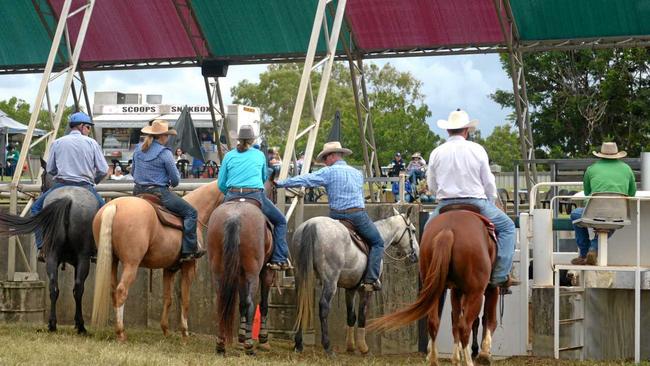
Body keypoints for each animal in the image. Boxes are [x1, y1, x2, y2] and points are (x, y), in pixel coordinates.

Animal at [90, 183, 223, 340]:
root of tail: (114, 205)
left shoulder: (169, 269)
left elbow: (168, 298)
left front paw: (165, 330)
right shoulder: (189, 267)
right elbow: (185, 300)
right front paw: (185, 333)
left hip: (112, 261)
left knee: (113, 291)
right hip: (131, 264)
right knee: (122, 291)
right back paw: (121, 333)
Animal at [208, 199, 274, 356]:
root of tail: (234, 217)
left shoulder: (239, 276)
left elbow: (241, 305)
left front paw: (241, 339)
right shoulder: (266, 271)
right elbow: (263, 304)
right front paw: (263, 340)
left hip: (220, 270)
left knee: (222, 301)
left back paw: (220, 345)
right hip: (252, 273)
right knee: (250, 303)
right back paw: (249, 347)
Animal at [292, 207, 418, 356]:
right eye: (414, 230)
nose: (416, 254)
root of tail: (311, 225)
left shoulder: (350, 288)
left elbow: (351, 316)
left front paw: (350, 346)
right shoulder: (366, 289)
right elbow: (362, 315)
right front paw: (364, 348)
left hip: (301, 275)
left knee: (300, 303)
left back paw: (298, 344)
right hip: (330, 280)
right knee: (323, 306)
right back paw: (328, 347)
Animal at [368, 206, 498, 366]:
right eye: (412, 230)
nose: (415, 253)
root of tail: (448, 230)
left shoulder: (456, 290)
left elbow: (455, 319)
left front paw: (455, 358)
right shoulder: (492, 288)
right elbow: (489, 319)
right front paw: (484, 354)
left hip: (437, 289)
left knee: (434, 322)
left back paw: (434, 359)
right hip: (476, 294)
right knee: (465, 326)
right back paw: (468, 361)